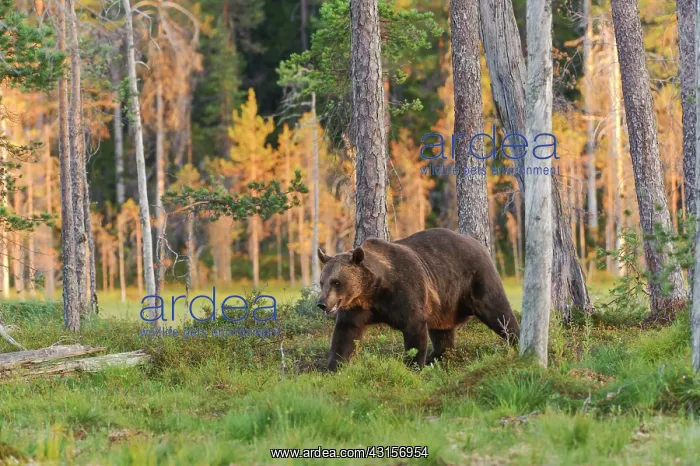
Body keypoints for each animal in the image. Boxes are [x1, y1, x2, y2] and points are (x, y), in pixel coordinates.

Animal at [316, 228, 520, 371]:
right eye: (322, 282)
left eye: (336, 282)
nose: (322, 303)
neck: (373, 290)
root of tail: (478, 244)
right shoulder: (357, 307)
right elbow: (345, 333)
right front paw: (334, 366)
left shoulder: (406, 291)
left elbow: (414, 328)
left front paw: (413, 365)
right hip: (445, 303)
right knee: (443, 331)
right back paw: (436, 356)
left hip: (477, 279)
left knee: (498, 312)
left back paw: (516, 339)